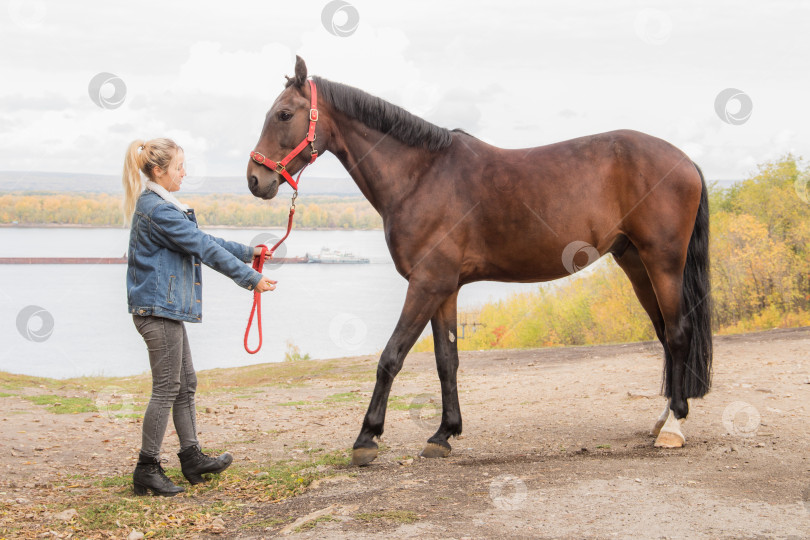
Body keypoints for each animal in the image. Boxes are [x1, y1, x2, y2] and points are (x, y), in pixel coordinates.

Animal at [245, 57, 708, 466]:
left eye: (284, 114)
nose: (255, 179)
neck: (420, 175)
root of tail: (685, 160)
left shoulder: (426, 284)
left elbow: (390, 358)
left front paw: (366, 439)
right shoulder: (444, 288)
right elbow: (446, 361)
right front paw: (443, 434)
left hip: (663, 263)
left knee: (678, 333)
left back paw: (674, 426)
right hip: (636, 264)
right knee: (664, 334)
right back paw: (664, 416)